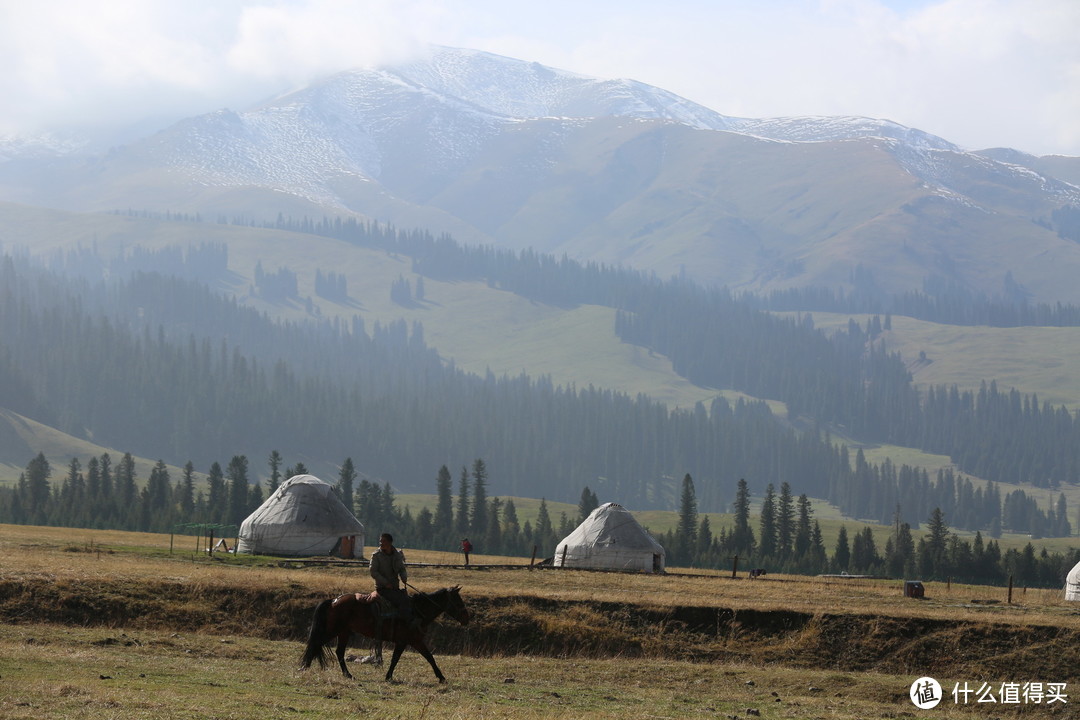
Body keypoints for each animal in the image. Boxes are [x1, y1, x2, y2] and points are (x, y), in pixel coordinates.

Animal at [304, 587, 473, 682]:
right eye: (458, 601)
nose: (466, 618)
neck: (417, 611)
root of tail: (333, 600)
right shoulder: (404, 641)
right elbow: (396, 659)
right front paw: (389, 676)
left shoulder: (416, 641)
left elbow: (429, 657)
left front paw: (441, 677)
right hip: (333, 631)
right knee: (317, 643)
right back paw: (305, 666)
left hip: (343, 632)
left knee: (339, 652)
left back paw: (348, 674)